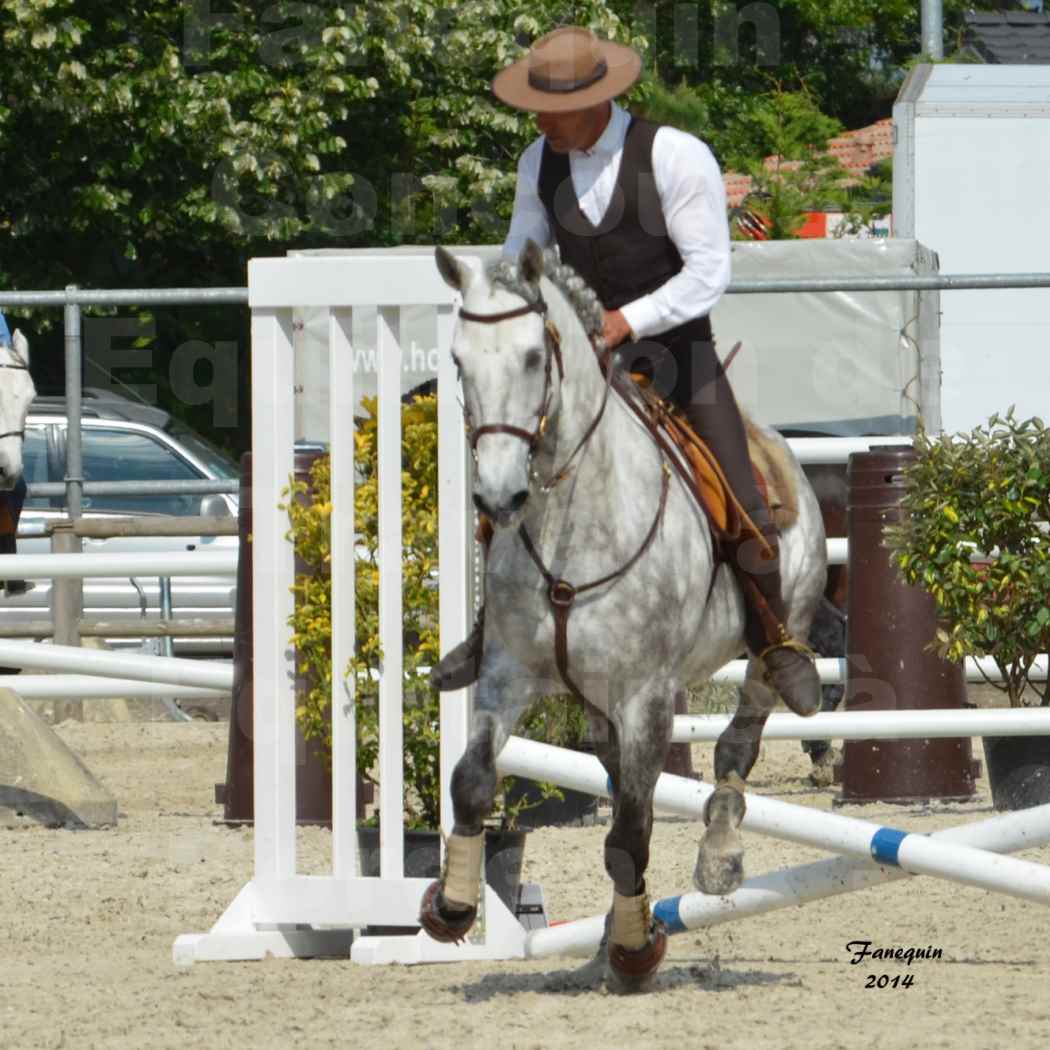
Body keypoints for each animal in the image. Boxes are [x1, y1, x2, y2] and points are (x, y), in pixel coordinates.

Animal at [419, 245, 827, 991]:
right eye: (459, 360)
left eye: (532, 357)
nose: (499, 495)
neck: (571, 521)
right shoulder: (507, 675)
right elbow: (472, 781)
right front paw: (452, 905)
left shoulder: (647, 697)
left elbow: (631, 830)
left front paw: (639, 951)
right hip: (596, 696)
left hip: (774, 636)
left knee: (739, 741)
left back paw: (719, 852)